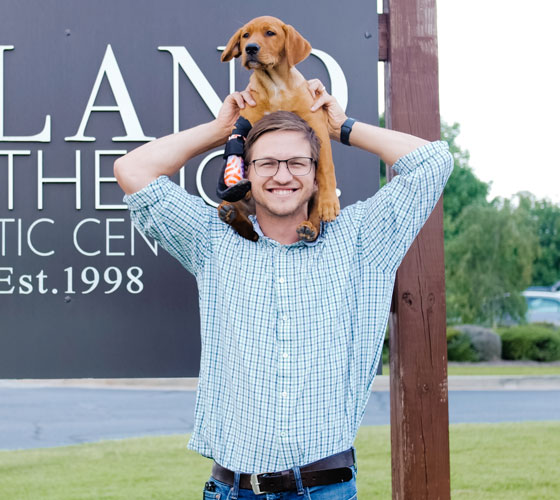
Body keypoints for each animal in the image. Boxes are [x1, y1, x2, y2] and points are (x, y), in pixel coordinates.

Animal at [219, 15, 342, 242]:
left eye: (270, 33)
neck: (274, 85)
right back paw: (235, 217)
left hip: (313, 193)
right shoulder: (246, 124)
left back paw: (309, 228)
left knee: (313, 212)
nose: (250, 48)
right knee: (233, 212)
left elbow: (327, 168)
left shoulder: (318, 127)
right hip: (237, 202)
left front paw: (329, 203)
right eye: (245, 35)